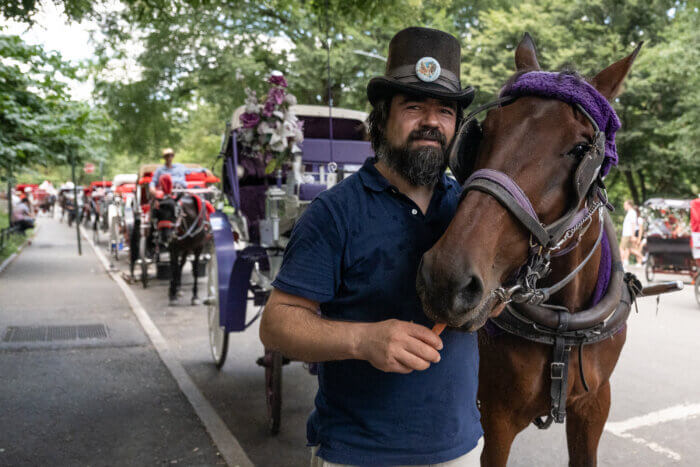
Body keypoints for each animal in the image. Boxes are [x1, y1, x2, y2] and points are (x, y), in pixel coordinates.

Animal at [416, 34, 640, 466]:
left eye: (581, 149)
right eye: (486, 131)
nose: (445, 279)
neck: (562, 324)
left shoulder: (594, 405)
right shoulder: (494, 418)